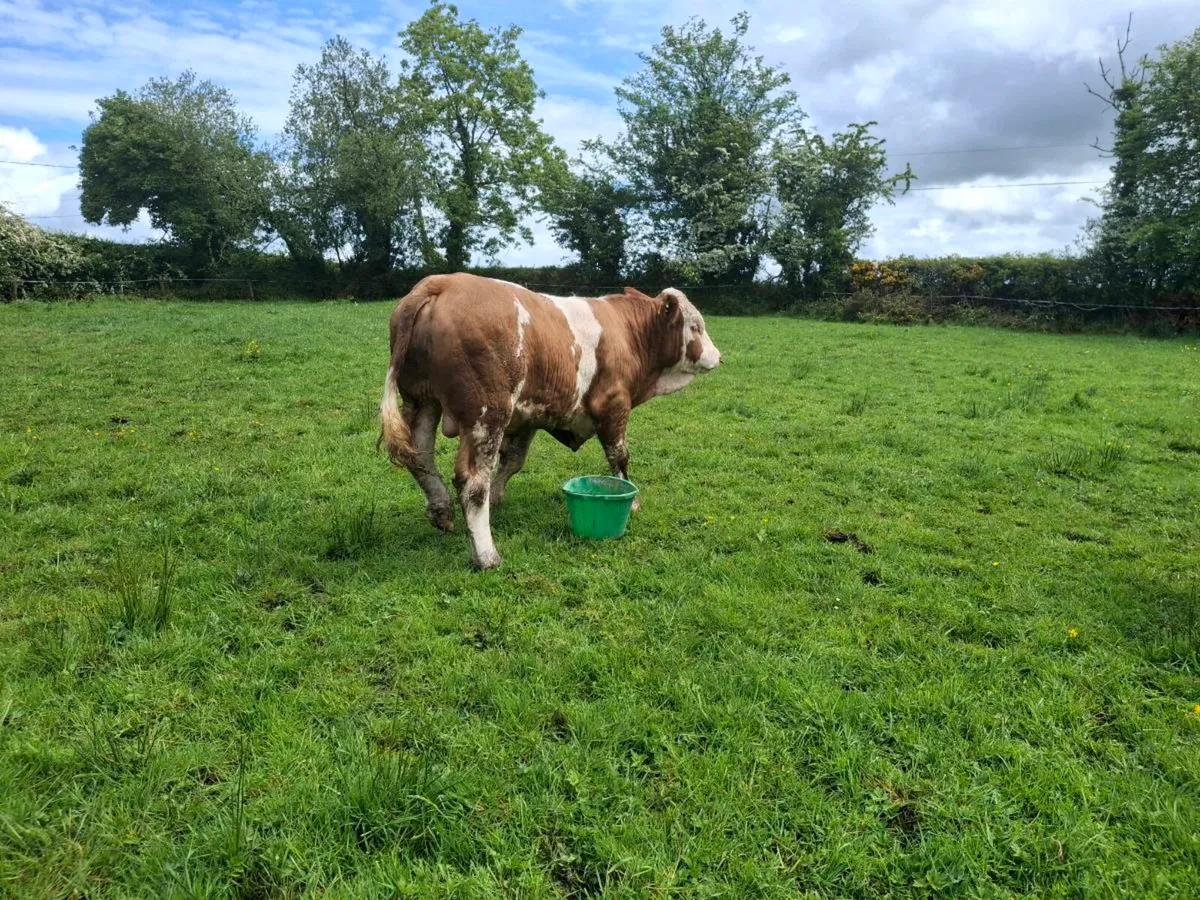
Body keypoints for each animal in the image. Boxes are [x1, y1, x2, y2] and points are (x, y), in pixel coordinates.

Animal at [378, 273, 721, 570]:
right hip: (487, 414)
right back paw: (487, 555)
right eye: (696, 326)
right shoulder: (614, 405)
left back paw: (441, 510)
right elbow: (619, 457)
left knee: (421, 460)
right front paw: (632, 501)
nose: (719, 356)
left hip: (422, 402)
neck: (629, 333)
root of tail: (443, 282)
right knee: (472, 482)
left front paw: (497, 499)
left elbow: (513, 462)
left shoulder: (528, 417)